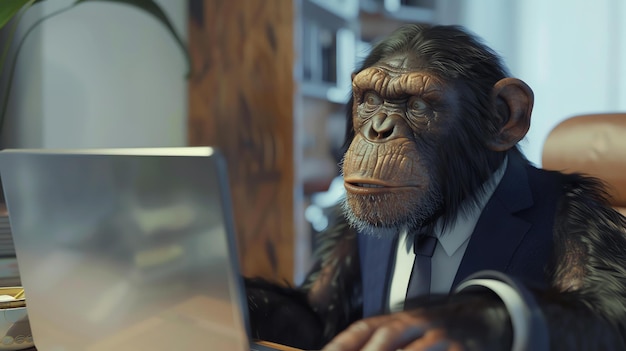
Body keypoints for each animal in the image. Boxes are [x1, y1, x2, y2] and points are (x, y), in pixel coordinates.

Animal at [246, 23, 624, 350]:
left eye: (417, 105)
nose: (379, 130)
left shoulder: (579, 220)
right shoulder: (345, 226)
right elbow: (314, 313)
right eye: (370, 99)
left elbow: (607, 313)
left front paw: (450, 323)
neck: (433, 224)